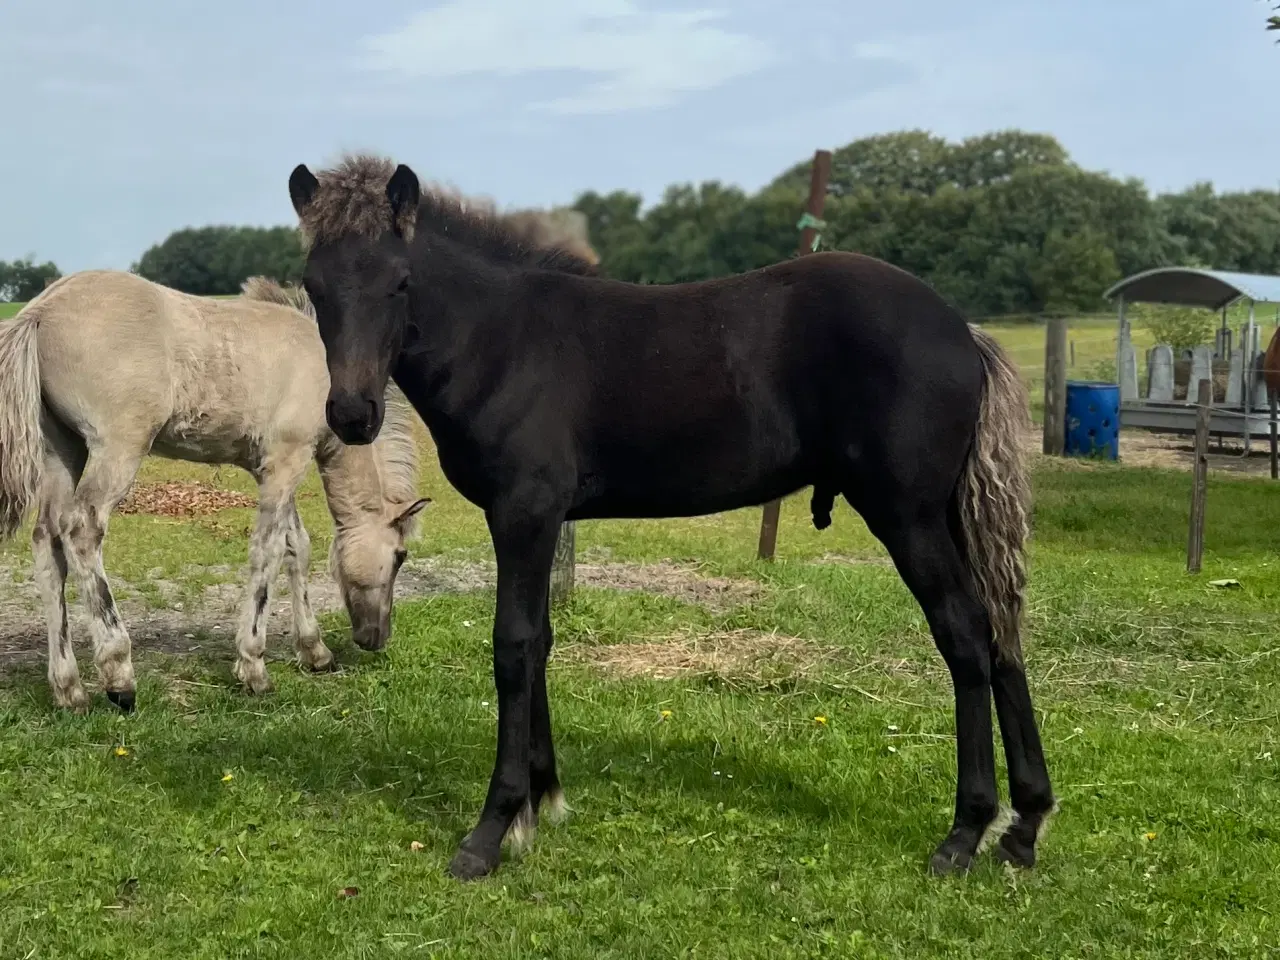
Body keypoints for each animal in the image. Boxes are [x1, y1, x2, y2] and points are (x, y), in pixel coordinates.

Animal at [0, 271, 430, 716]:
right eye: (400, 556)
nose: (375, 637)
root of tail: (41, 310)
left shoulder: (273, 468)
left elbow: (297, 546)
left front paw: (315, 651)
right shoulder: (287, 461)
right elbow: (268, 551)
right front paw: (253, 668)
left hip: (62, 450)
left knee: (47, 543)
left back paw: (69, 690)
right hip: (116, 449)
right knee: (82, 530)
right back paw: (119, 676)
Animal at [285, 154, 1054, 885]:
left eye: (400, 282)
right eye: (314, 287)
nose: (353, 415)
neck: (501, 340)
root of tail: (963, 330)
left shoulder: (524, 512)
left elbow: (513, 646)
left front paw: (493, 830)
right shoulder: (542, 519)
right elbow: (542, 643)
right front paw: (544, 800)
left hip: (907, 516)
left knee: (965, 636)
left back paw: (965, 832)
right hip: (946, 515)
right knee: (999, 629)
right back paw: (1024, 826)